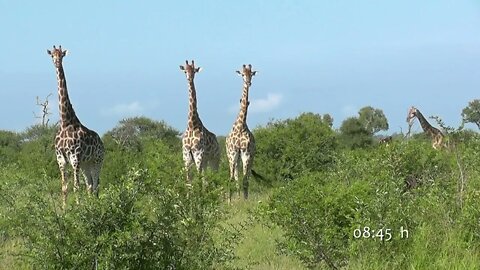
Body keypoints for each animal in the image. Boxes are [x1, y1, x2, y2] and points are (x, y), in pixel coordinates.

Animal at [47, 45, 105, 208]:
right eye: (52, 55)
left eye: (62, 55)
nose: (57, 63)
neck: (65, 121)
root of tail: (101, 142)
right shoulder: (61, 158)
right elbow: (64, 187)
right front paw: (65, 208)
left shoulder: (75, 157)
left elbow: (76, 186)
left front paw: (78, 208)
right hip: (86, 163)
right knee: (90, 184)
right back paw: (91, 204)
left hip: (97, 160)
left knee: (96, 184)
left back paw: (95, 204)